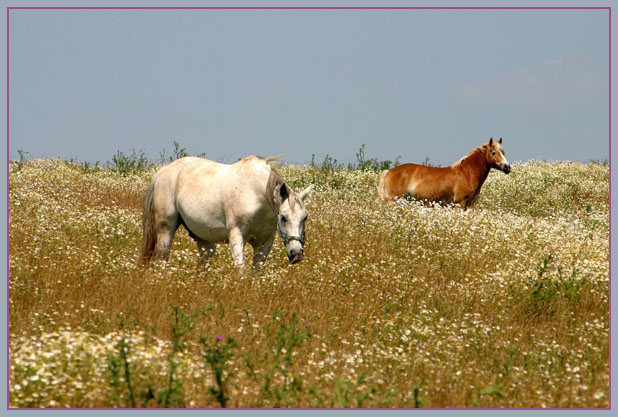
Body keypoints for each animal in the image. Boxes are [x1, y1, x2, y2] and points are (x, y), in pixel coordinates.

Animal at [140, 155, 312, 266]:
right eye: (283, 217)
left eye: (305, 217)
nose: (296, 253)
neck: (255, 194)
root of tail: (163, 171)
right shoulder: (236, 236)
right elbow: (241, 269)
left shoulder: (264, 243)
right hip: (166, 230)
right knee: (162, 259)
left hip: (203, 238)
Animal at [376, 137, 510, 208]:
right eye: (493, 153)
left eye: (503, 152)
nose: (507, 167)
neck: (467, 174)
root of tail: (390, 171)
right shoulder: (459, 203)